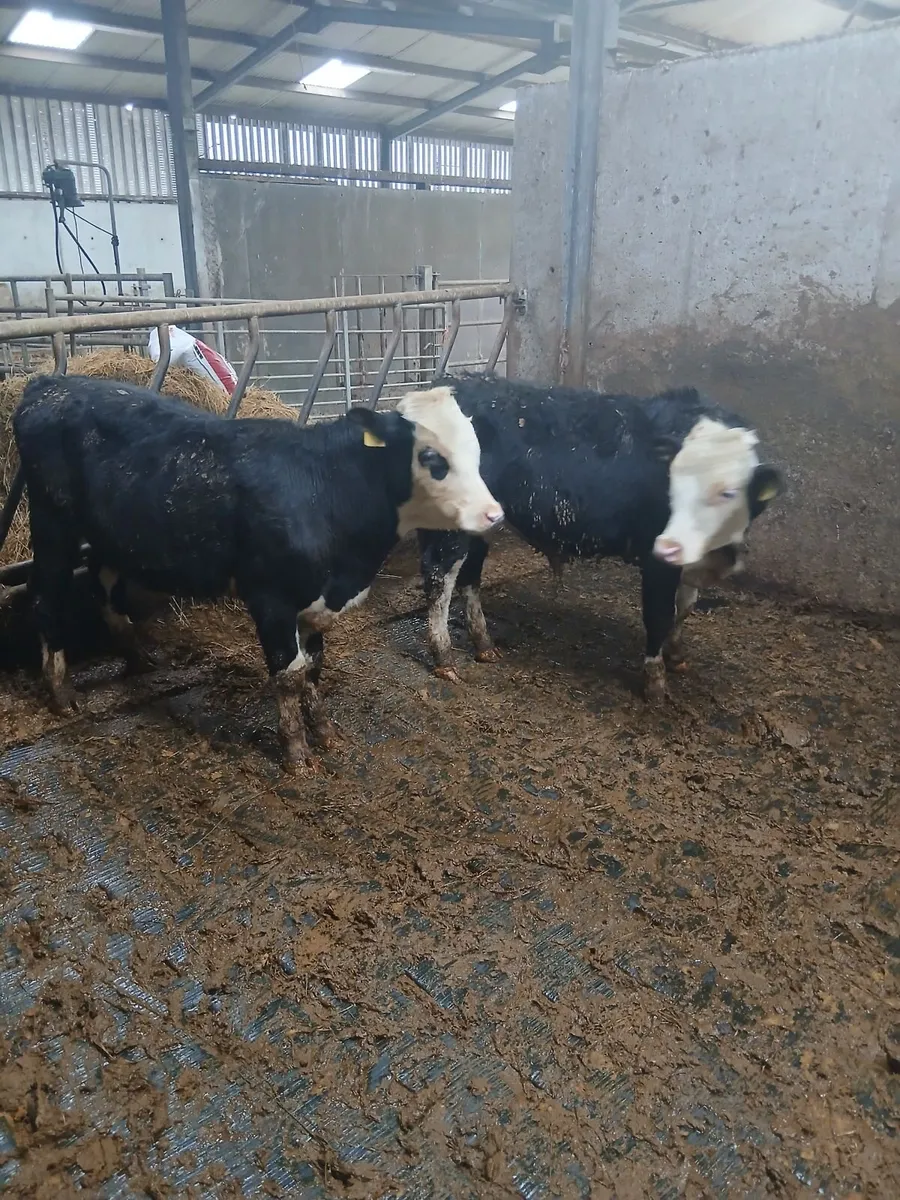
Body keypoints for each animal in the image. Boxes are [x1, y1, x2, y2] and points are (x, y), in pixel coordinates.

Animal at [10, 376, 503, 769]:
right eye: (432, 457)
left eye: (477, 450)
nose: (493, 514)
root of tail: (51, 383)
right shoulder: (271, 600)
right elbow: (288, 675)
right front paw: (297, 753)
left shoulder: (315, 602)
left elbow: (313, 667)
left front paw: (325, 731)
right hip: (53, 523)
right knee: (45, 594)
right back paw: (62, 692)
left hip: (110, 532)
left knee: (105, 582)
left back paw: (138, 657)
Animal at [416, 375, 781, 701]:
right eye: (674, 483)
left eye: (729, 493)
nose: (671, 545)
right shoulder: (656, 561)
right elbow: (660, 614)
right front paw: (655, 684)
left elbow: (686, 607)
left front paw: (677, 656)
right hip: (448, 525)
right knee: (439, 577)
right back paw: (444, 657)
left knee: (470, 576)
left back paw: (484, 644)